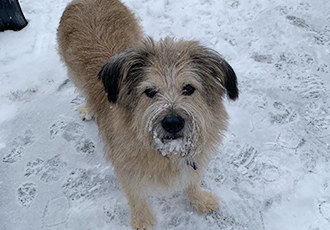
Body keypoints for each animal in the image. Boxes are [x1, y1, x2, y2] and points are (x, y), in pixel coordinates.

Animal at [56, 0, 237, 229]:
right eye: (150, 91)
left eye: (188, 88)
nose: (173, 123)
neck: (165, 154)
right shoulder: (127, 170)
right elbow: (136, 197)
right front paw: (142, 220)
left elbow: (192, 181)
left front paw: (200, 200)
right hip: (73, 72)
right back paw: (88, 109)